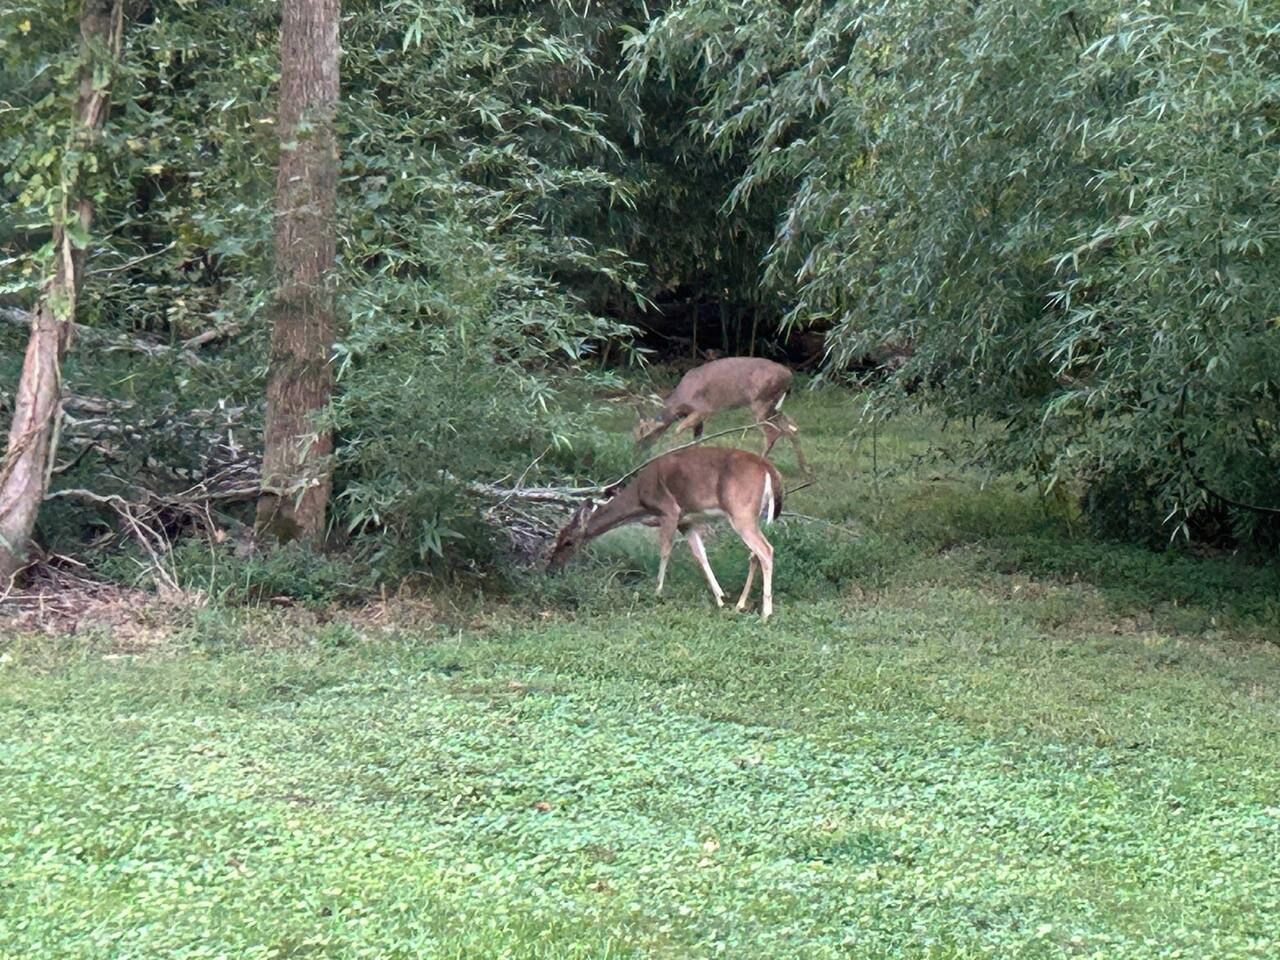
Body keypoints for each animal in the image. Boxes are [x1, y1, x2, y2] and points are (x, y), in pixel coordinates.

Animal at [547, 446, 784, 620]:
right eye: (557, 538)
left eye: (568, 542)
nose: (552, 566)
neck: (640, 501)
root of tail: (769, 469)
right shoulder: (685, 522)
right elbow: (700, 555)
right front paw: (720, 597)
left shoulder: (669, 510)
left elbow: (664, 551)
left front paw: (657, 591)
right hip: (755, 515)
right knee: (754, 554)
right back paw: (741, 604)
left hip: (741, 510)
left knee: (765, 550)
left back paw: (766, 613)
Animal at [634, 357, 809, 474]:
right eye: (636, 437)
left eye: (646, 437)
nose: (638, 455)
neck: (680, 402)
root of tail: (789, 375)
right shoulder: (699, 418)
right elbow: (696, 439)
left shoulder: (704, 409)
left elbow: (678, 430)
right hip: (774, 406)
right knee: (792, 427)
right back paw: (804, 469)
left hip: (762, 401)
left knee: (773, 432)